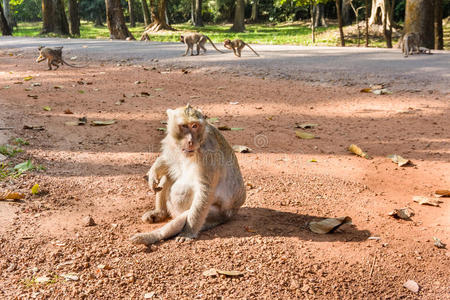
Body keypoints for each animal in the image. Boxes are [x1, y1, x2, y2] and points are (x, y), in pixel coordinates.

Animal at [130, 103, 246, 246]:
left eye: (195, 126)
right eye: (184, 126)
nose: (190, 141)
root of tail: (235, 210)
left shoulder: (209, 154)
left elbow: (204, 190)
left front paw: (188, 233)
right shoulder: (172, 142)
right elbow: (169, 160)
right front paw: (154, 171)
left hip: (218, 215)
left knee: (186, 215)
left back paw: (153, 236)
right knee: (169, 175)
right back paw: (159, 213)